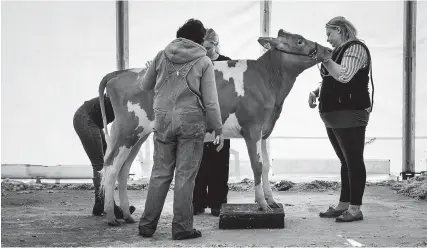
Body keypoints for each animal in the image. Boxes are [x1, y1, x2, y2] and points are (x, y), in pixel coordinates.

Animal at [98, 29, 332, 227]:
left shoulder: (265, 131)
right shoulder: (252, 129)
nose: (328, 50)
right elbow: (257, 166)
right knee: (110, 169)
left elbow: (266, 167)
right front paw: (262, 204)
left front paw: (272, 201)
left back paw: (127, 215)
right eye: (299, 40)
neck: (267, 79)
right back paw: (111, 217)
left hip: (138, 135)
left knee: (123, 170)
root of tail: (120, 73)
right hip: (127, 131)